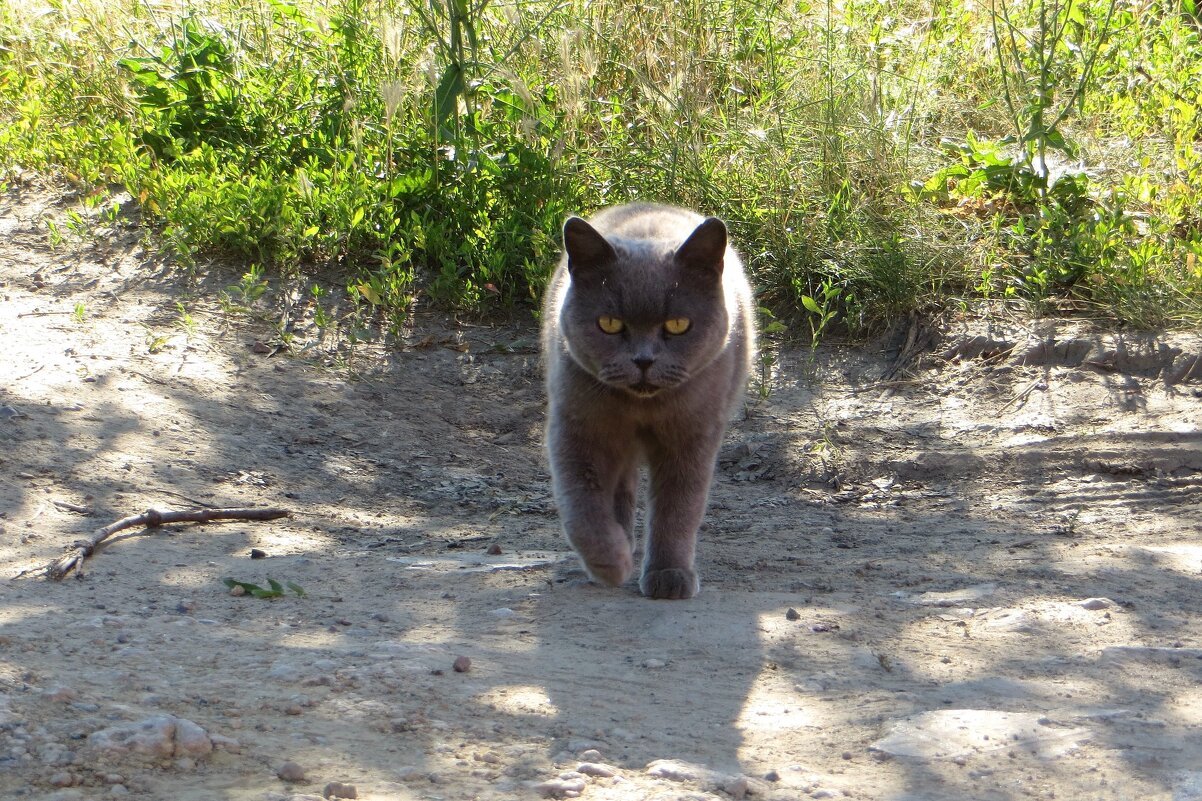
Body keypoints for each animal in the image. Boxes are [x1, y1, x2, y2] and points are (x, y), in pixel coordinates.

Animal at [543, 203, 754, 596]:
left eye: (678, 325)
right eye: (610, 323)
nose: (643, 360)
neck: (642, 408)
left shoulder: (693, 437)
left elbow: (678, 509)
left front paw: (669, 576)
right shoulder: (576, 428)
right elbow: (581, 505)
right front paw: (611, 563)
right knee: (619, 491)